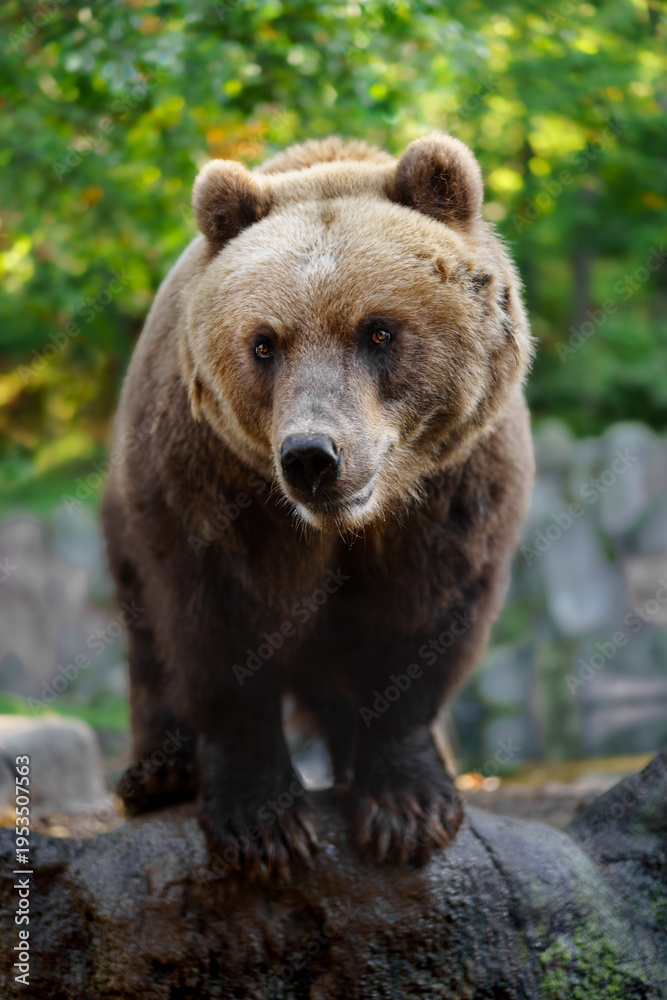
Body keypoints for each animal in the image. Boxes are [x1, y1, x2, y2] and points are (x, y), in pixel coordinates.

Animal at [102, 133, 535, 878]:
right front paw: (264, 824)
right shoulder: (215, 492)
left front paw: (405, 805)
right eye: (264, 343)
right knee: (149, 645)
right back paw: (159, 774)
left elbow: (420, 623)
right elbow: (218, 631)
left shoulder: (452, 496)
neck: (348, 524)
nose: (311, 457)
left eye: (378, 331)